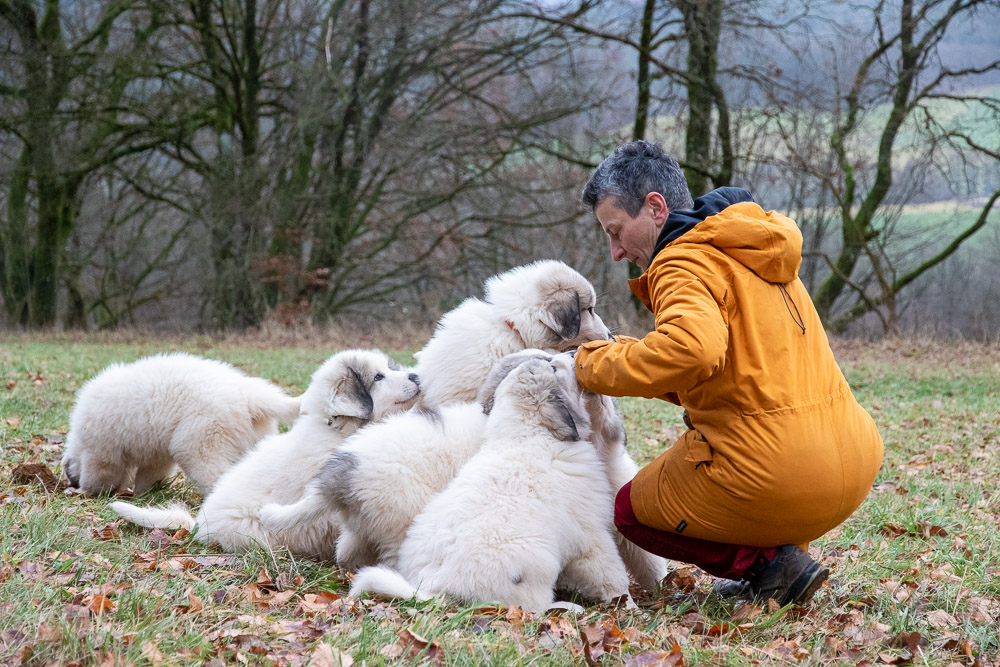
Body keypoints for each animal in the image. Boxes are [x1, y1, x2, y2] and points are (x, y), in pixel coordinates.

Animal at [59, 352, 298, 498]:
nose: (72, 483)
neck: (79, 439)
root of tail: (251, 396)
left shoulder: (101, 449)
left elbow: (98, 473)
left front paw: (86, 492)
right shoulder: (155, 456)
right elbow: (149, 474)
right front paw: (141, 494)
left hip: (201, 439)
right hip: (252, 442)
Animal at [352, 358, 628, 612]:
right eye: (553, 368)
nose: (573, 354)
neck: (529, 433)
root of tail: (437, 587)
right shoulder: (591, 534)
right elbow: (610, 572)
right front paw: (627, 605)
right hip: (538, 566)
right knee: (533, 609)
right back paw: (567, 608)